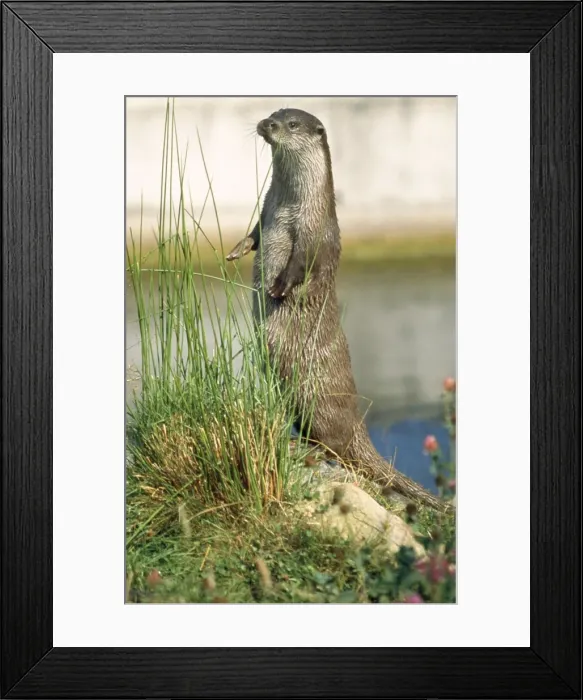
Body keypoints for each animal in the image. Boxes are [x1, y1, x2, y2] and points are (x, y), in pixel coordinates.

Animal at [227, 108, 447, 512]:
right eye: (274, 113)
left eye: (291, 123)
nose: (266, 124)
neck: (288, 205)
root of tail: (358, 424)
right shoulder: (265, 210)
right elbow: (254, 234)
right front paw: (237, 250)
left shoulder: (315, 231)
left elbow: (301, 264)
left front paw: (278, 288)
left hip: (320, 401)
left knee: (336, 447)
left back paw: (309, 450)